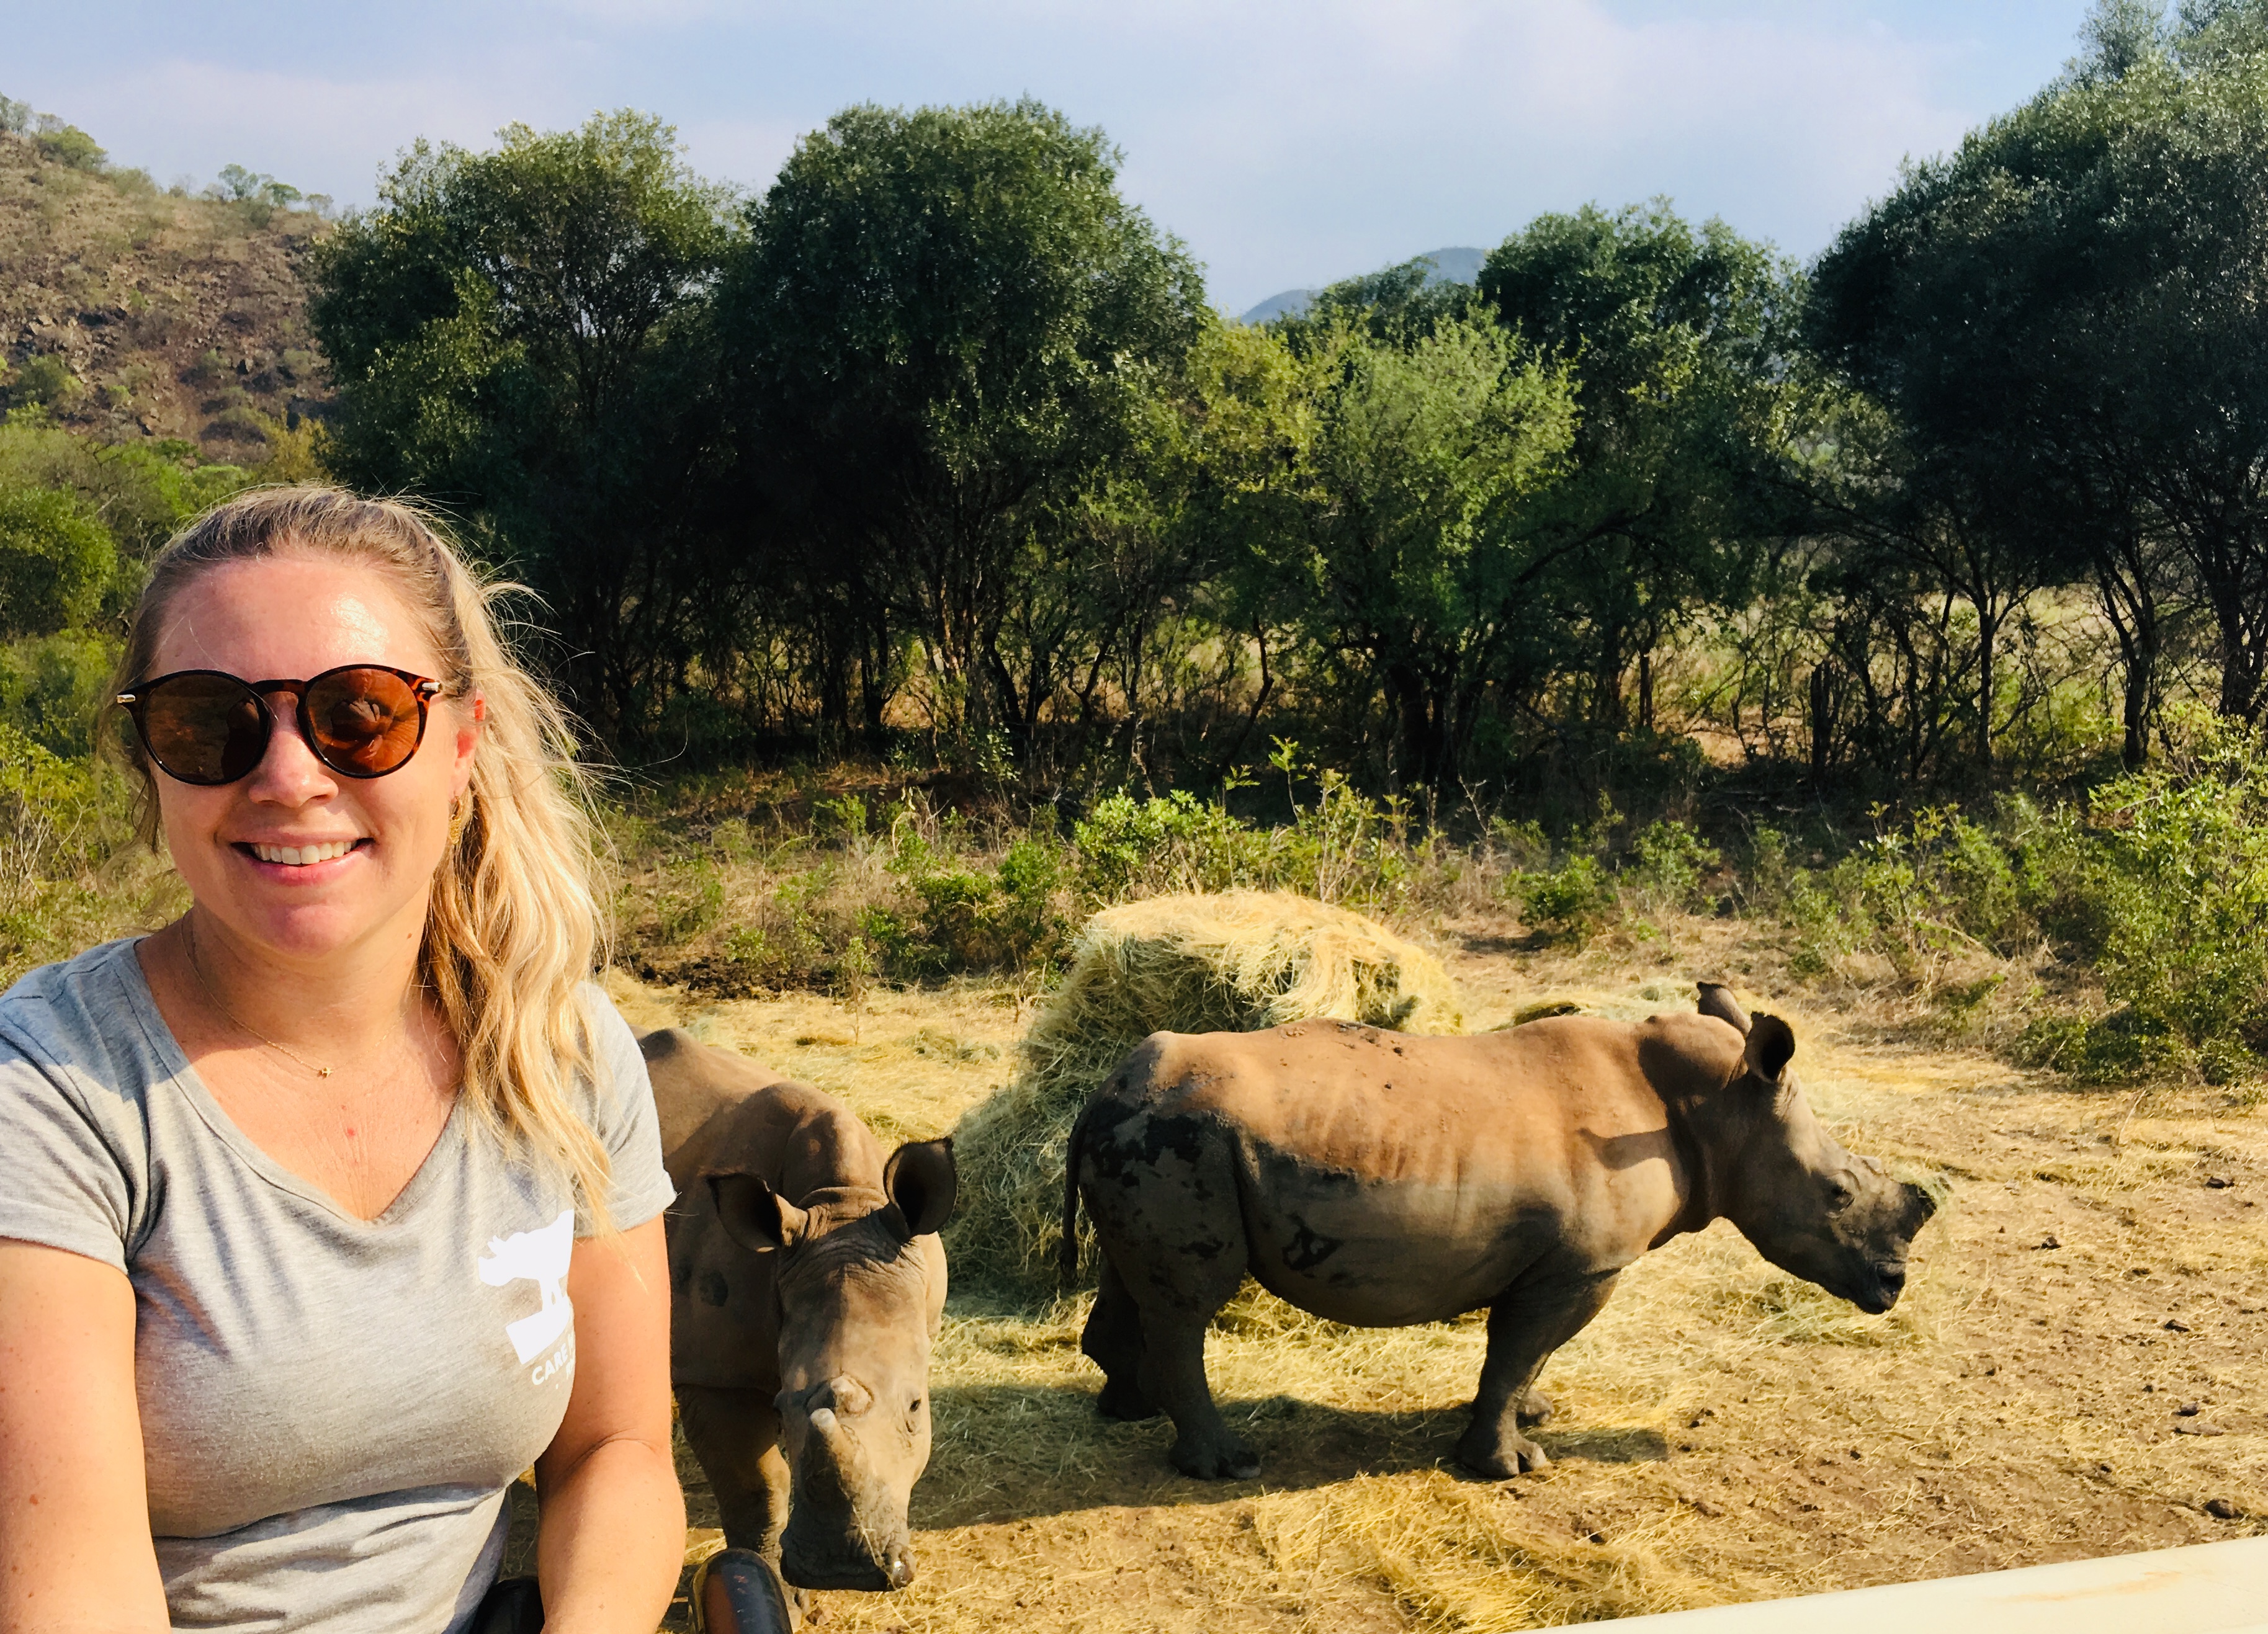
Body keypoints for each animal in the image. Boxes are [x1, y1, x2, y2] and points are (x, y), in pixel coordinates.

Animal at [643, 1030, 956, 1598]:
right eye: (782, 1405)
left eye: (916, 1408)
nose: (842, 1570)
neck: (841, 1207)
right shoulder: (716, 1370)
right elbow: (759, 1489)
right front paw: (786, 1596)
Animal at [1061, 984, 1935, 1480]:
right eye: (1836, 1194)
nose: (1892, 1285)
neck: (1719, 1106)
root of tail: (1104, 1089)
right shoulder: (1585, 1266)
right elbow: (1517, 1352)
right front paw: (1508, 1467)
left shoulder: (1560, 1265)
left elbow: (1523, 1358)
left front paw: (1534, 1415)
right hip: (1183, 1138)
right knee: (1189, 1305)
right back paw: (1227, 1466)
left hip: (1156, 1138)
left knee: (1136, 1282)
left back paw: (1131, 1409)